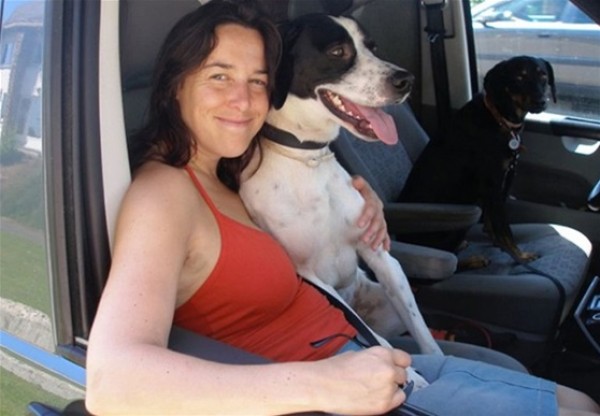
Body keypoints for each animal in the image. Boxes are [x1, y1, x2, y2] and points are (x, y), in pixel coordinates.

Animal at [239, 13, 442, 361]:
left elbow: (424, 335)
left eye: (373, 47)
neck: (308, 158)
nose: (407, 80)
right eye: (337, 52)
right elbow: (375, 340)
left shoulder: (380, 254)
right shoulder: (309, 276)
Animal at [400, 56, 556, 266]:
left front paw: (496, 242)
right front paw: (520, 255)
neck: (499, 119)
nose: (541, 102)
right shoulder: (493, 184)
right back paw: (471, 260)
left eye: (543, 76)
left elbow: (492, 221)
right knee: (446, 260)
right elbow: (504, 228)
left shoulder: (503, 180)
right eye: (520, 77)